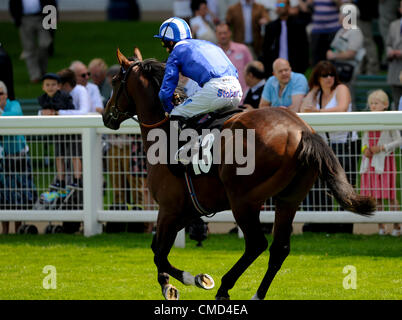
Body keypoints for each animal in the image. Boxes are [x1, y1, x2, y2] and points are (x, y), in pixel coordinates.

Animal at [102, 49, 376, 300]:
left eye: (114, 81)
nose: (106, 116)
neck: (164, 135)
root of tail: (302, 131)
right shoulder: (187, 210)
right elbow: (157, 248)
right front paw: (172, 283)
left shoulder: (169, 209)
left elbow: (159, 252)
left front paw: (192, 280)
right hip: (288, 199)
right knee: (279, 247)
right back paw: (257, 294)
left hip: (243, 200)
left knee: (256, 244)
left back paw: (224, 287)